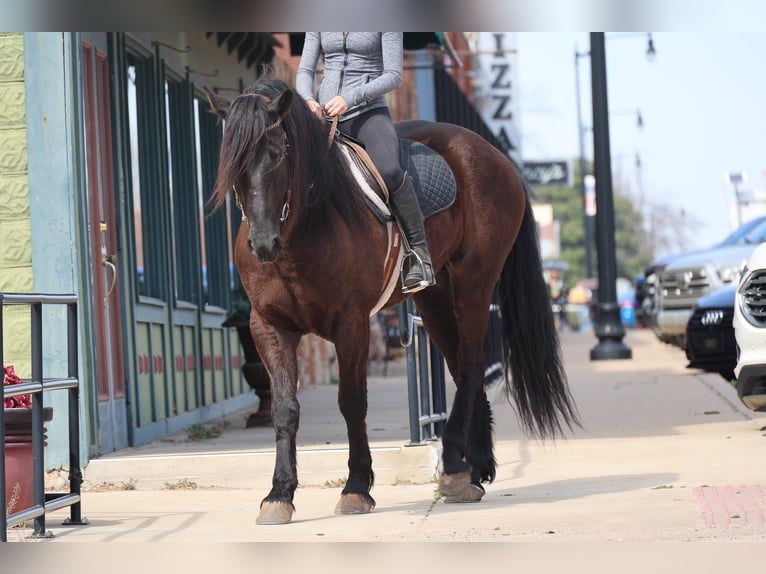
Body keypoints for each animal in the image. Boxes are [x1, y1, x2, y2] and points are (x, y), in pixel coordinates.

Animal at [206, 78, 580, 525]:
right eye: (230, 161)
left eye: (278, 153)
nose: (263, 243)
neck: (305, 227)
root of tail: (496, 158)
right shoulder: (268, 327)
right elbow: (284, 408)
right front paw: (279, 494)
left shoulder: (351, 325)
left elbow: (352, 402)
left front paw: (356, 487)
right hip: (435, 298)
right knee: (460, 366)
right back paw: (473, 468)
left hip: (473, 283)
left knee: (472, 363)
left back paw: (452, 464)